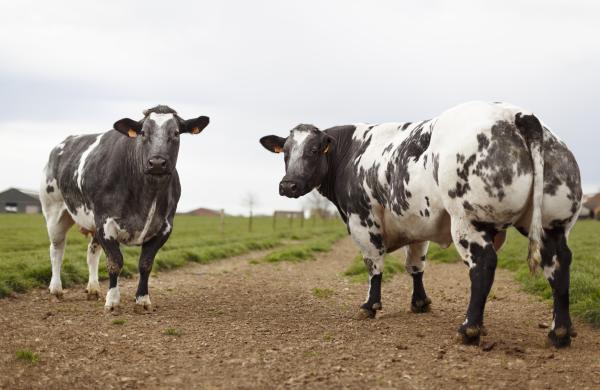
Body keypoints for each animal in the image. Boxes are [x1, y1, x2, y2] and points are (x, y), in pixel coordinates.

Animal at [39, 105, 209, 312]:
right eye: (143, 132)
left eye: (176, 133)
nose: (157, 162)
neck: (147, 194)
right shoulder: (105, 222)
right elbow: (115, 262)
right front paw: (112, 300)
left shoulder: (164, 227)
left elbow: (145, 264)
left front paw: (142, 299)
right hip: (54, 211)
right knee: (57, 249)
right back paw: (56, 289)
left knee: (91, 252)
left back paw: (93, 289)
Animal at [260, 100, 584, 348]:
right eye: (285, 152)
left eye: (314, 150)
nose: (288, 185)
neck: (352, 153)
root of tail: (517, 114)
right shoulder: (415, 221)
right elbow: (416, 265)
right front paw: (419, 302)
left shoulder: (362, 219)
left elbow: (373, 264)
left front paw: (370, 306)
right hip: (553, 224)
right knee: (559, 263)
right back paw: (560, 332)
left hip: (468, 220)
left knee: (483, 266)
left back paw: (469, 329)